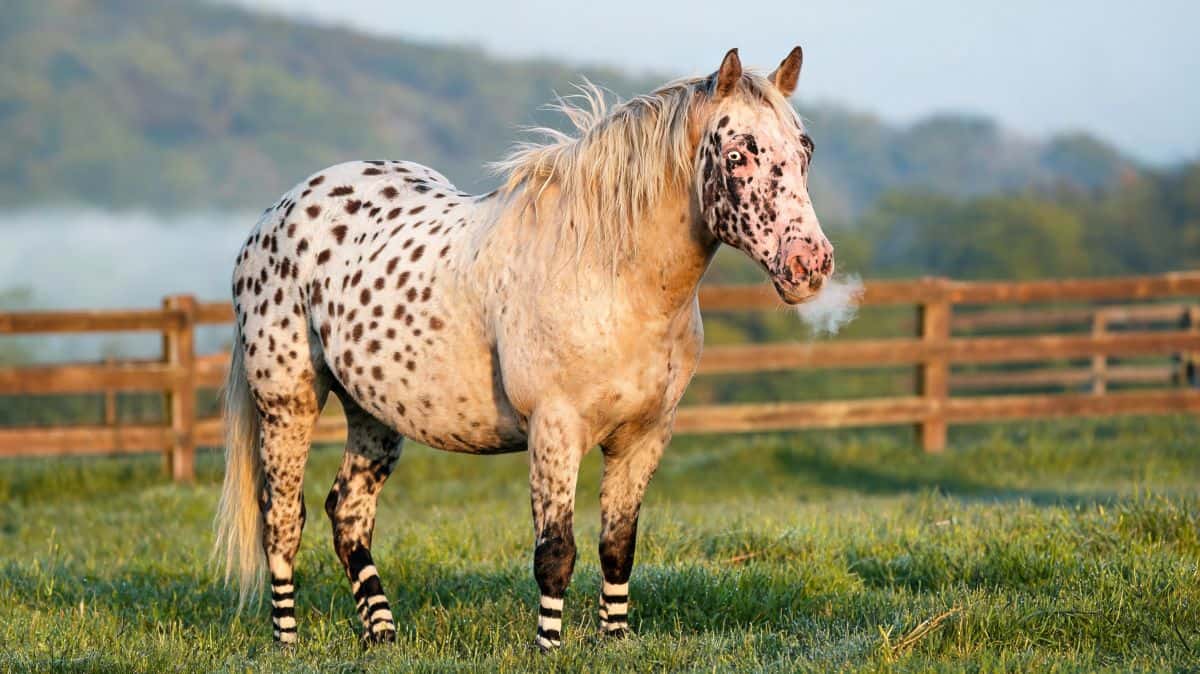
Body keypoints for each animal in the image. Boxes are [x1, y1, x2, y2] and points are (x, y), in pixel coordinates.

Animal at [214, 46, 834, 650]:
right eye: (738, 154)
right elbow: (555, 553)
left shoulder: (643, 436)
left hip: (373, 413)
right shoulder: (554, 430)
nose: (809, 264)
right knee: (283, 520)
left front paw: (616, 641)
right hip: (288, 405)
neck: (611, 272)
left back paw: (382, 636)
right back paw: (287, 642)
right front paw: (549, 647)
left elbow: (618, 546)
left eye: (804, 149)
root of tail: (274, 216)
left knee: (347, 513)